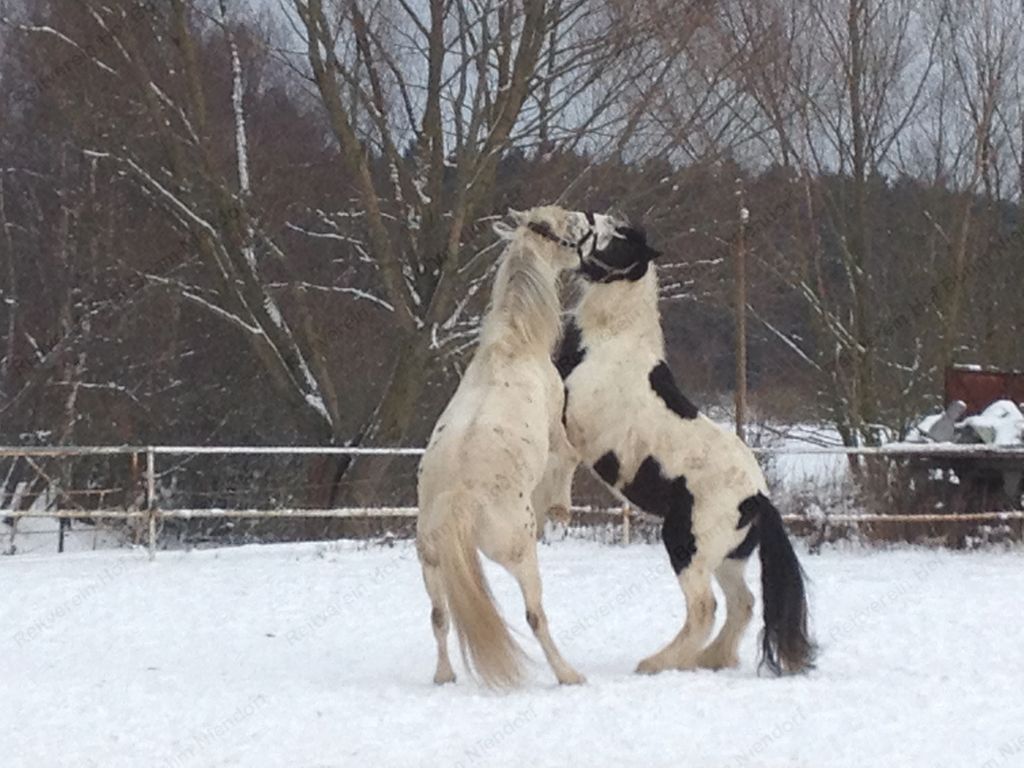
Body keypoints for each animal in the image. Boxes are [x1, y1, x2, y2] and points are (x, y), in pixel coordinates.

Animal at [415, 205, 598, 688]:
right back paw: (568, 674)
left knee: (439, 617)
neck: (514, 343)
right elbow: (570, 459)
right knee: (535, 615)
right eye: (567, 228)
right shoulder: (557, 435)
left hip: (431, 566)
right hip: (520, 558)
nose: (588, 223)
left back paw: (444, 675)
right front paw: (559, 512)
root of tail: (460, 502)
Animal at [551, 213, 817, 676]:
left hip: (686, 545)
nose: (585, 220)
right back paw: (713, 659)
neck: (611, 342)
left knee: (705, 609)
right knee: (743, 604)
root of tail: (758, 500)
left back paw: (657, 663)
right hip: (727, 559)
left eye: (617, 238)